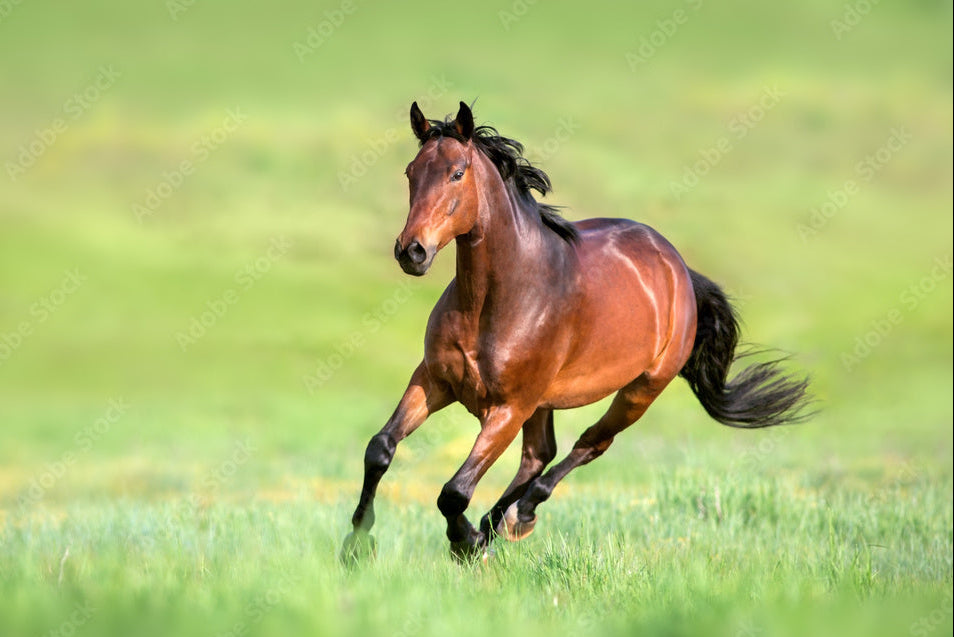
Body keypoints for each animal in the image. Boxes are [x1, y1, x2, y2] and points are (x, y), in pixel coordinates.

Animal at [341, 101, 811, 563]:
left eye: (457, 173)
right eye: (411, 172)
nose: (412, 251)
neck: (495, 301)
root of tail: (676, 266)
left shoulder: (508, 407)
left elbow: (454, 492)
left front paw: (466, 542)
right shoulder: (434, 380)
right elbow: (380, 449)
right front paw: (356, 545)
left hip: (638, 391)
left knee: (587, 445)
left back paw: (516, 518)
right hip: (543, 402)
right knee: (538, 455)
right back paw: (500, 523)